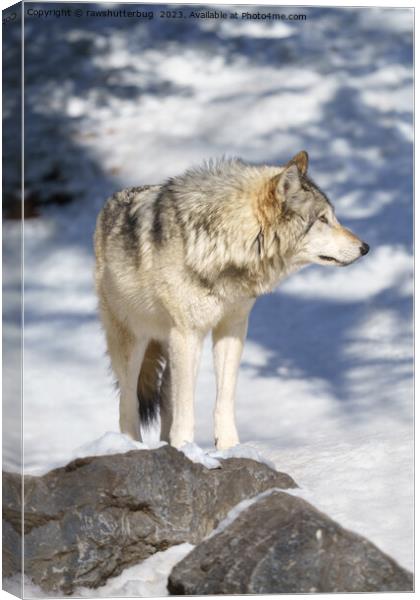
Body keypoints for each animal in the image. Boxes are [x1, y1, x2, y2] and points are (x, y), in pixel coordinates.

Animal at [94, 151, 368, 450]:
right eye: (322, 219)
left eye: (332, 217)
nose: (365, 247)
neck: (225, 244)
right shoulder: (189, 334)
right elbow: (186, 406)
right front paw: (187, 448)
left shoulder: (232, 328)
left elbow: (224, 398)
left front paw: (227, 447)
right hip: (133, 342)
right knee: (127, 403)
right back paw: (130, 445)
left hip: (168, 343)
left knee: (165, 396)